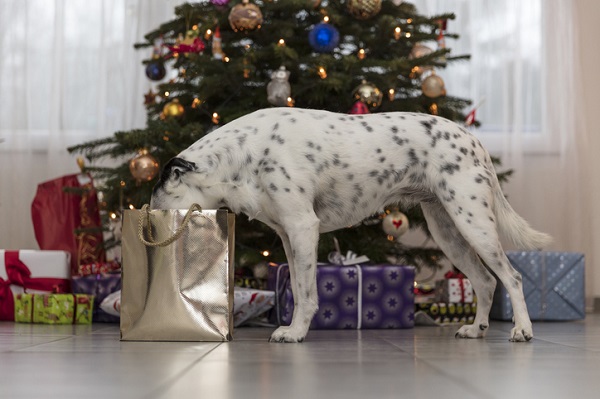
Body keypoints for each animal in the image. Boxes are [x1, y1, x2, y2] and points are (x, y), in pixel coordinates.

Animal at [152, 108, 552, 344]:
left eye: (157, 206)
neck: (242, 156)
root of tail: (475, 141)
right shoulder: (287, 235)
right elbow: (298, 286)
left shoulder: (302, 227)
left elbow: (306, 293)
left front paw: (295, 332)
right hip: (448, 231)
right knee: (485, 281)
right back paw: (476, 328)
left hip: (473, 222)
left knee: (512, 277)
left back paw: (522, 329)